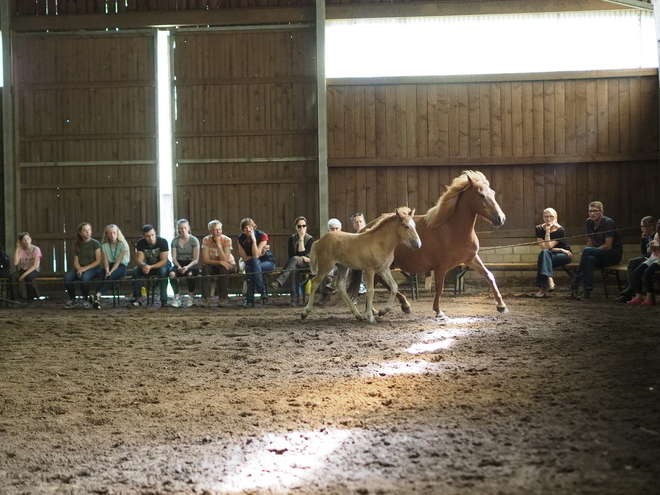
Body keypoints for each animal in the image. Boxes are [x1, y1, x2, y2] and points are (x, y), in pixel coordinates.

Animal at [350, 170, 506, 318]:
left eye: (492, 193)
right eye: (481, 195)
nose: (500, 218)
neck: (452, 229)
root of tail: (366, 229)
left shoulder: (470, 259)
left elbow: (489, 276)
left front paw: (501, 306)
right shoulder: (441, 266)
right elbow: (439, 287)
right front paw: (438, 311)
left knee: (384, 284)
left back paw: (395, 307)